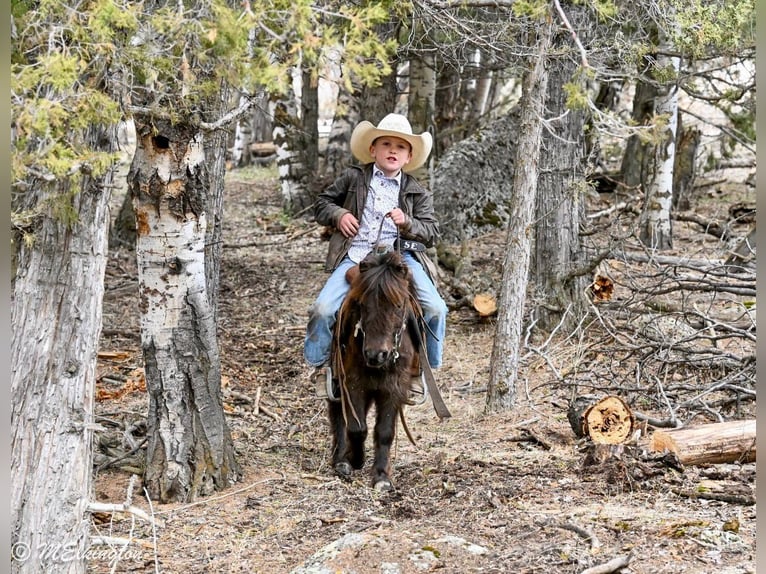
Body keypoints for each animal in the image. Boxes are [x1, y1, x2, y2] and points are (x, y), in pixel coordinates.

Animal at [327, 248, 425, 491]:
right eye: (361, 305)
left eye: (398, 306)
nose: (375, 354)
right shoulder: (352, 382)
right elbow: (356, 426)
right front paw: (355, 459)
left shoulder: (394, 388)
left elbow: (384, 431)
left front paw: (381, 477)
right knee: (339, 414)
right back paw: (341, 460)